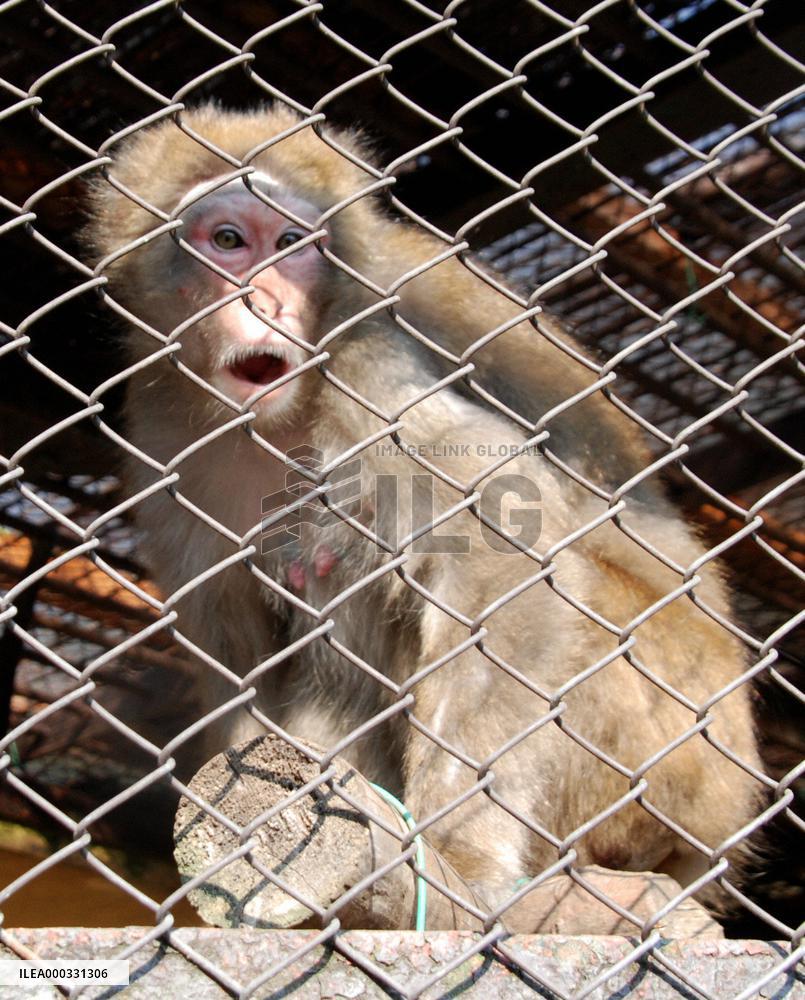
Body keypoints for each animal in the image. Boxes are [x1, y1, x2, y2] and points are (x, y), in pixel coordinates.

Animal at [85, 104, 761, 918]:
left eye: (290, 245)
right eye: (227, 241)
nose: (266, 302)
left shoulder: (371, 364)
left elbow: (502, 548)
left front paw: (460, 857)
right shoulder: (158, 429)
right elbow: (234, 639)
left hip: (669, 758)